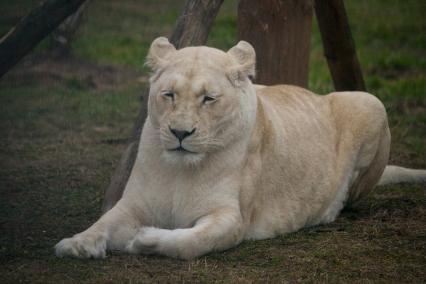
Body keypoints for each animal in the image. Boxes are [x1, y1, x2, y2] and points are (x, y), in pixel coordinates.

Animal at [55, 36, 424, 258]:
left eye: (208, 98)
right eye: (169, 95)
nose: (180, 133)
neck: (181, 170)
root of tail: (318, 95)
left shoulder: (232, 218)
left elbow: (191, 242)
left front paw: (145, 239)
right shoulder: (132, 204)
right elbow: (103, 223)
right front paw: (76, 243)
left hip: (370, 101)